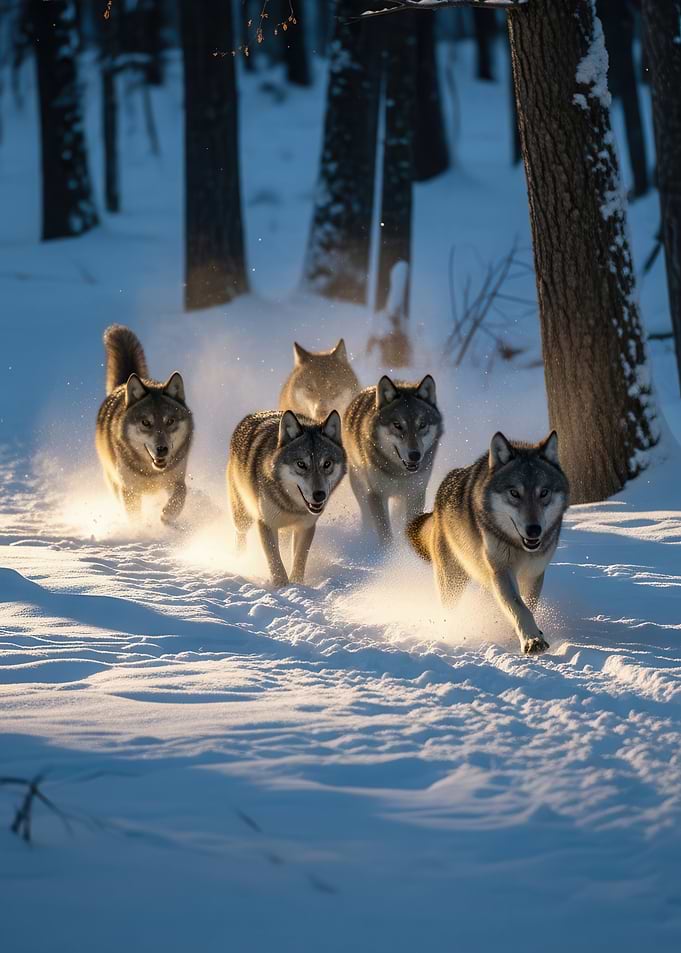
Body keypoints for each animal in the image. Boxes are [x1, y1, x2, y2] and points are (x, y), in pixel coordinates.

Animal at [96, 325, 193, 524]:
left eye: (170, 421)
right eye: (146, 422)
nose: (162, 449)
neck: (152, 472)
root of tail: (124, 383)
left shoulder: (177, 479)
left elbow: (181, 494)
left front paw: (167, 515)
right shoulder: (129, 490)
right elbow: (135, 517)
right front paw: (142, 529)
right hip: (112, 479)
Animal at [227, 409, 346, 586]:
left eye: (327, 464)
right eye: (301, 464)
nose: (319, 495)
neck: (292, 507)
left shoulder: (306, 527)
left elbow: (299, 558)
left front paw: (297, 583)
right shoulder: (266, 523)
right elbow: (274, 559)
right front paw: (281, 584)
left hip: (283, 530)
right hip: (243, 517)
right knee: (239, 534)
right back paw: (239, 559)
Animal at [343, 375, 443, 547]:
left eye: (422, 425)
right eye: (397, 425)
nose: (415, 455)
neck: (399, 473)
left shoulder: (415, 493)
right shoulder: (376, 494)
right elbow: (385, 534)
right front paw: (389, 553)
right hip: (359, 486)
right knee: (366, 515)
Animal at [407, 432, 569, 655]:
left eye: (544, 493)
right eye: (514, 493)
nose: (534, 530)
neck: (520, 547)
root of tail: (437, 503)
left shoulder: (534, 573)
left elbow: (527, 605)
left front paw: (523, 635)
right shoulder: (501, 571)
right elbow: (519, 607)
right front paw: (532, 640)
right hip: (453, 581)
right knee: (449, 608)